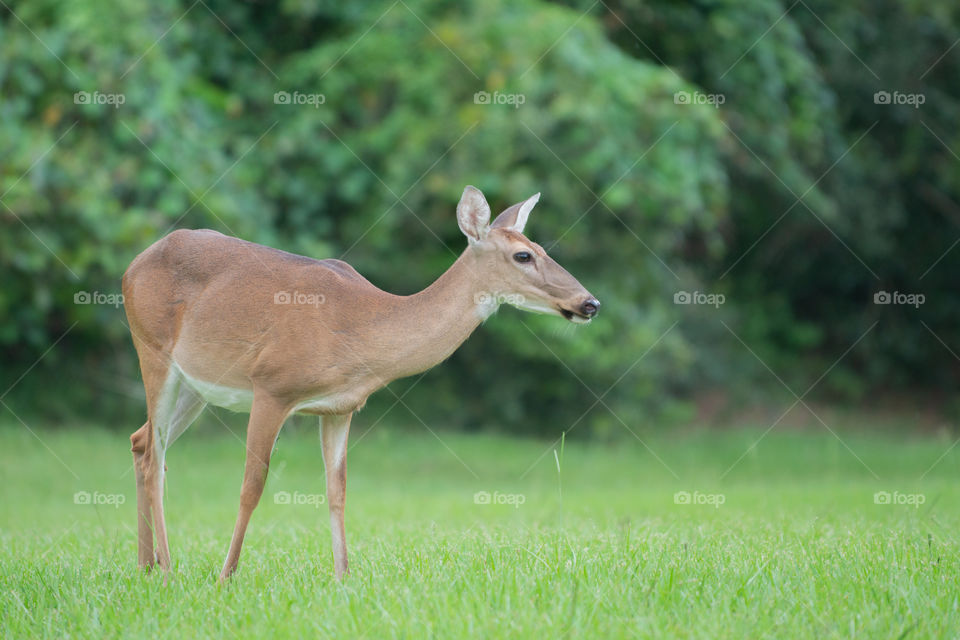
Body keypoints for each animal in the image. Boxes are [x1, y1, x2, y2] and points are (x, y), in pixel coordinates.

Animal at [122, 185, 600, 582]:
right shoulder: (272, 386)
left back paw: (146, 565)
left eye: (541, 248)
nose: (589, 303)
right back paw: (167, 568)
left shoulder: (340, 407)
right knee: (155, 456)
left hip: (196, 385)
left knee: (142, 441)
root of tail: (132, 266)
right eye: (523, 256)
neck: (361, 330)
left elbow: (338, 491)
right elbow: (251, 486)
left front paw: (343, 577)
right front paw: (226, 576)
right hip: (153, 349)